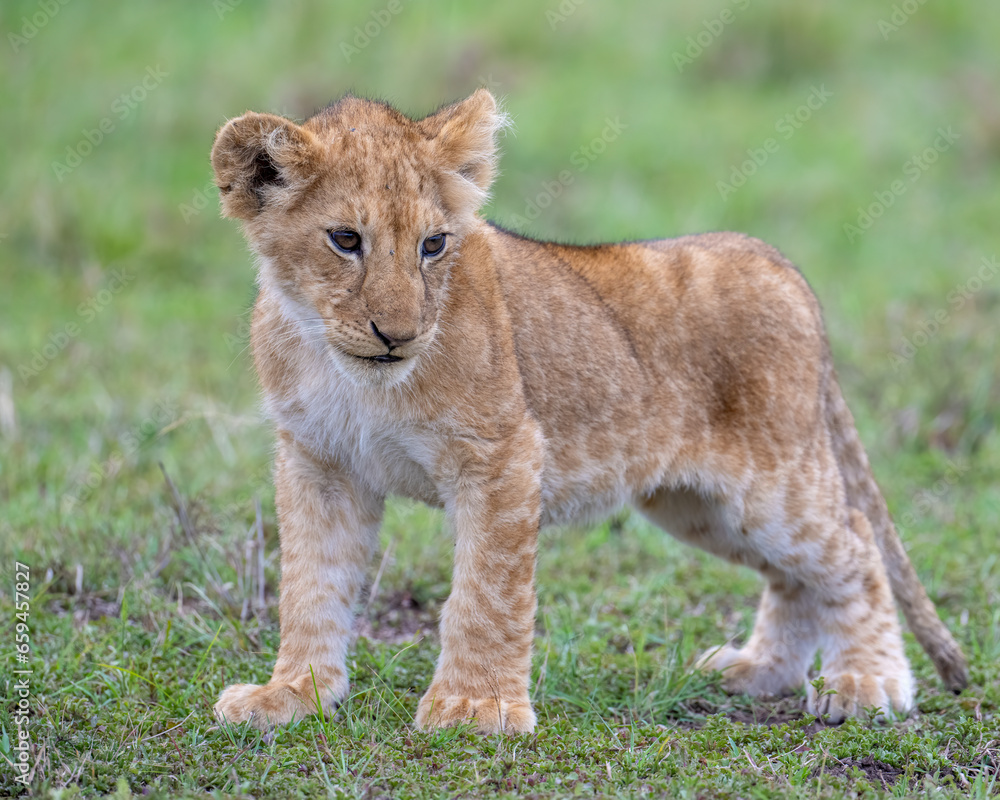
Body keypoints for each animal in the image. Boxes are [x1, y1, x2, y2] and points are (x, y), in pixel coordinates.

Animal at [209, 89, 967, 733]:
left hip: (773, 486)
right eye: (345, 240)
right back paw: (762, 672)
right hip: (697, 504)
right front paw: (292, 695)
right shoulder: (320, 463)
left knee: (855, 543)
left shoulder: (503, 454)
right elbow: (311, 585)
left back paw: (867, 685)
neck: (345, 371)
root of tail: (775, 259)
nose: (397, 335)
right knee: (794, 574)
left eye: (433, 244)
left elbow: (486, 593)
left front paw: (475, 709)